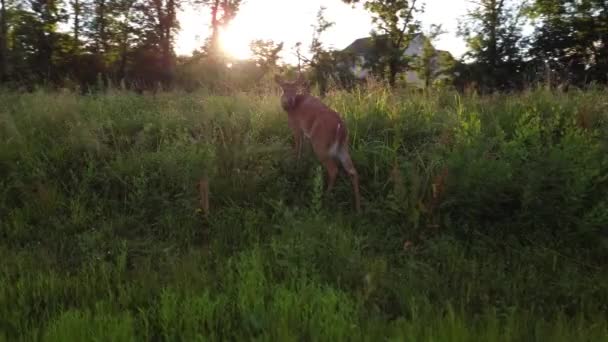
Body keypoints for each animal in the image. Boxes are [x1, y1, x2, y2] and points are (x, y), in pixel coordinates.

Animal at [274, 74, 360, 212]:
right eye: (285, 90)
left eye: (295, 90)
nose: (289, 101)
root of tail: (341, 128)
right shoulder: (307, 134)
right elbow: (305, 150)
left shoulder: (297, 128)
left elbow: (298, 149)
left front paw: (296, 166)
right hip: (343, 147)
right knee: (353, 171)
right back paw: (358, 208)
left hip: (321, 145)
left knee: (334, 170)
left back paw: (325, 197)